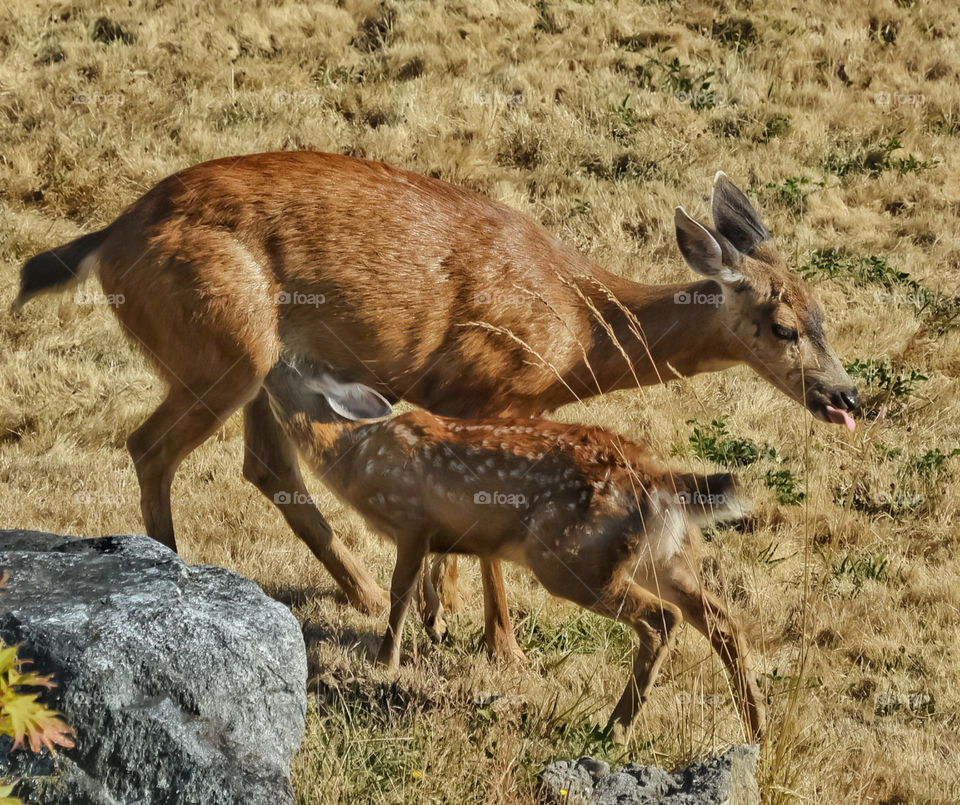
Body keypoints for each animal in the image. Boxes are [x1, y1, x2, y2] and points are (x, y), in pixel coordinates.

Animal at [15, 151, 859, 664]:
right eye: (783, 326)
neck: (578, 331)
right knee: (152, 445)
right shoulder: (478, 387)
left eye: (826, 313)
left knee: (265, 465)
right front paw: (489, 641)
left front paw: (448, 618)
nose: (846, 396)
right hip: (223, 346)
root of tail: (111, 238)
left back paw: (354, 589)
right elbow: (481, 527)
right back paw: (177, 571)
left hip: (256, 363)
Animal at [261, 359, 765, 742]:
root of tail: (662, 481)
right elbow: (430, 576)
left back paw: (617, 729)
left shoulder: (411, 519)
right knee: (722, 619)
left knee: (665, 619)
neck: (355, 455)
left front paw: (385, 663)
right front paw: (437, 625)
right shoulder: (436, 532)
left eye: (291, 367)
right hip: (663, 558)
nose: (264, 365)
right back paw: (755, 729)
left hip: (571, 557)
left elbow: (400, 590)